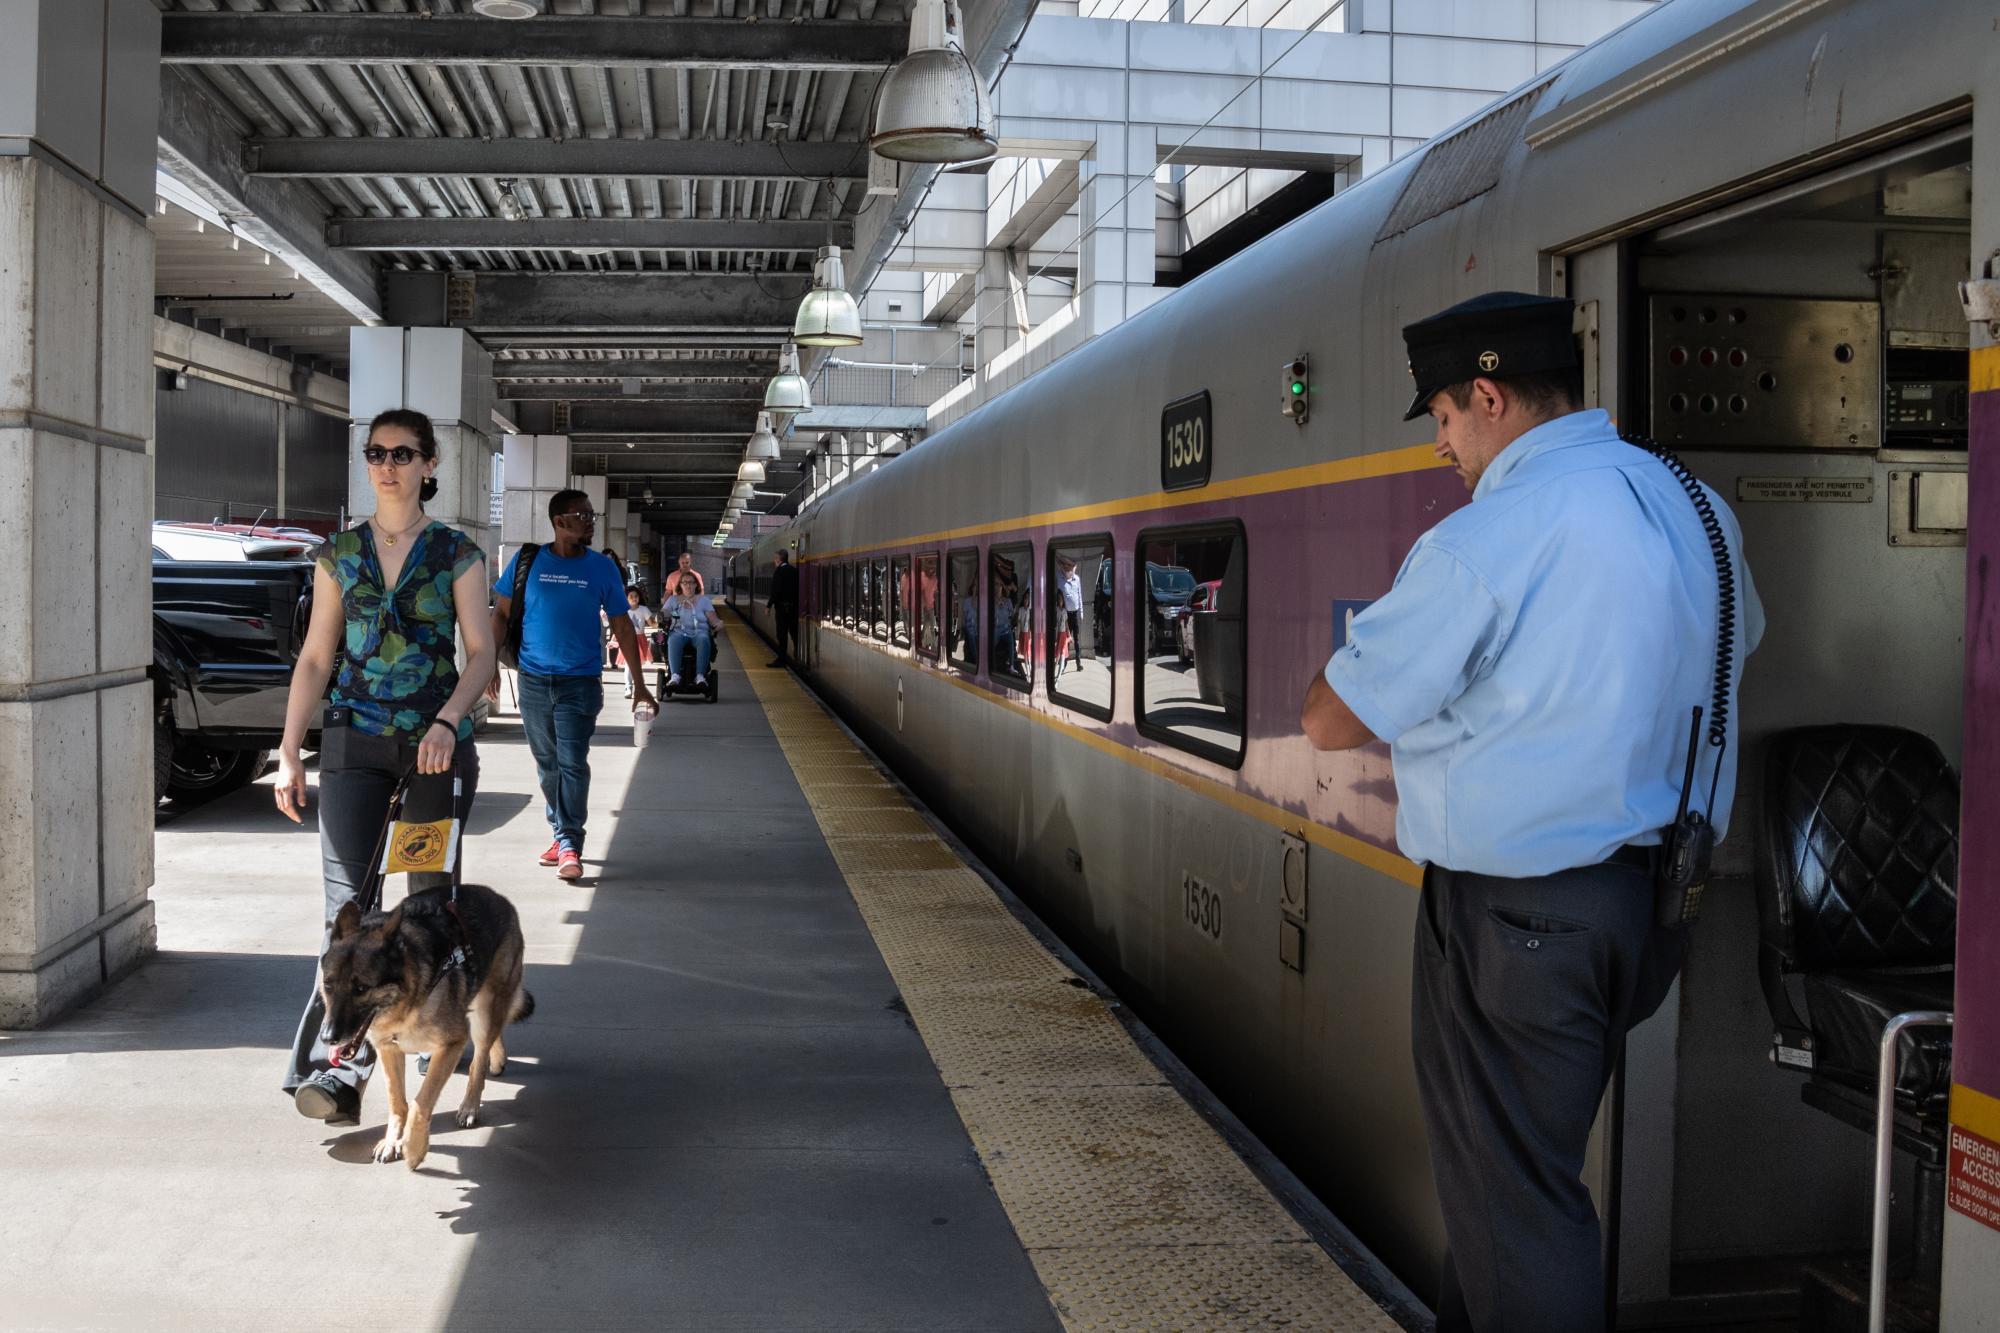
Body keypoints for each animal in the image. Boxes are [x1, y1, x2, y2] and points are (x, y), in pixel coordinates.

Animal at [316, 876, 532, 1168]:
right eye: (328, 985)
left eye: (361, 988)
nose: (328, 1037)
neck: (406, 1001)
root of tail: (499, 897)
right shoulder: (388, 1049)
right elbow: (397, 1101)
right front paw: (393, 1141)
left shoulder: (452, 1044)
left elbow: (422, 1101)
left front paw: (414, 1147)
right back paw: (498, 1058)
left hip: (484, 1014)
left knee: (479, 1059)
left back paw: (470, 1105)